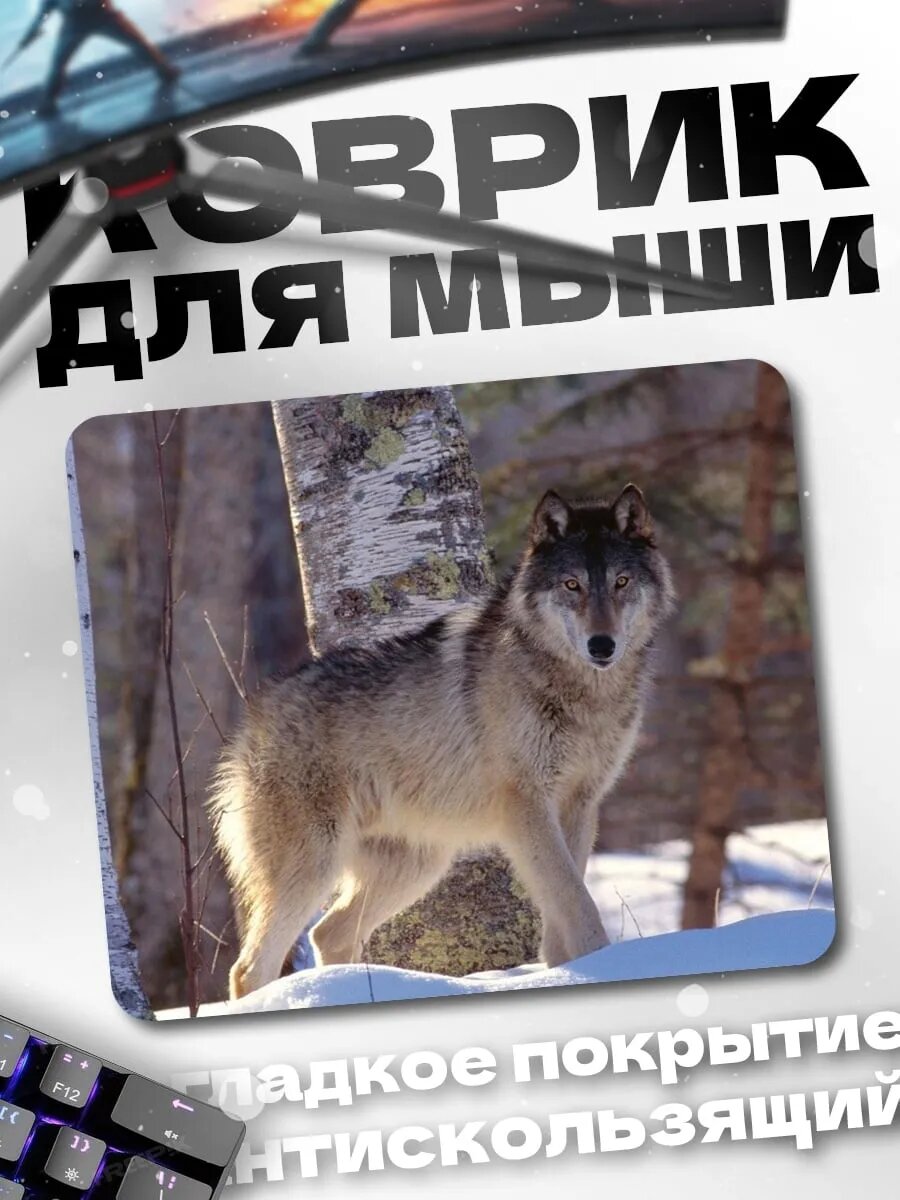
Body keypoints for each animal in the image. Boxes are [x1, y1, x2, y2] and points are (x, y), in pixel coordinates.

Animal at [209, 484, 675, 1000]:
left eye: (621, 582)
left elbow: (564, 911)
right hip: (314, 867)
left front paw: (568, 973)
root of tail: (252, 718)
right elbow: (578, 902)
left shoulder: (579, 805)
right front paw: (609, 969)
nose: (601, 645)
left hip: (417, 868)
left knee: (329, 933)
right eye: (572, 585)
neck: (583, 694)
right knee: (249, 968)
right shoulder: (526, 807)